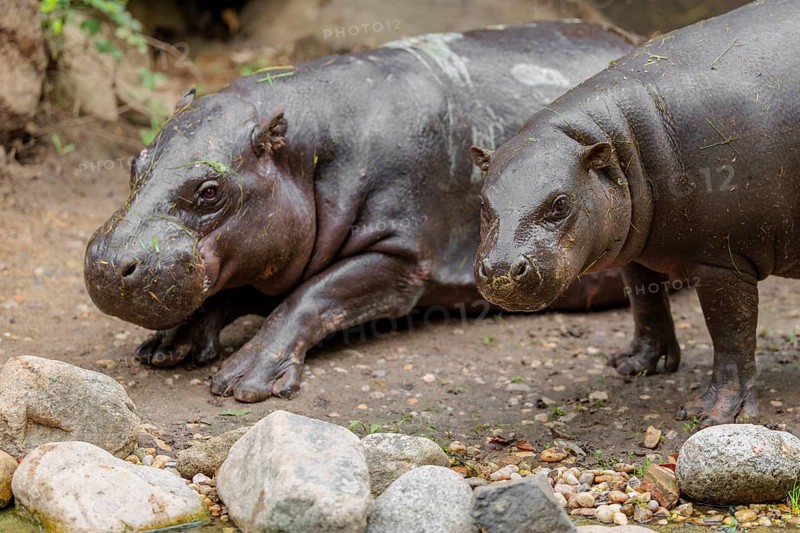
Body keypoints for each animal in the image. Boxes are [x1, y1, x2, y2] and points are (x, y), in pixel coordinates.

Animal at [84, 22, 635, 403]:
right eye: (135, 162)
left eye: (209, 190)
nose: (108, 264)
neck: (307, 147)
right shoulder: (271, 254)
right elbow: (236, 291)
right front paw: (166, 347)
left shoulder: (402, 256)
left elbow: (315, 295)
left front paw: (244, 380)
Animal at [472, 0, 800, 426]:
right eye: (482, 202)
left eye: (560, 204)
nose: (499, 271)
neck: (618, 141)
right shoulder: (635, 250)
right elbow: (645, 303)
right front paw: (634, 365)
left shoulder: (724, 260)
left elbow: (731, 334)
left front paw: (712, 413)